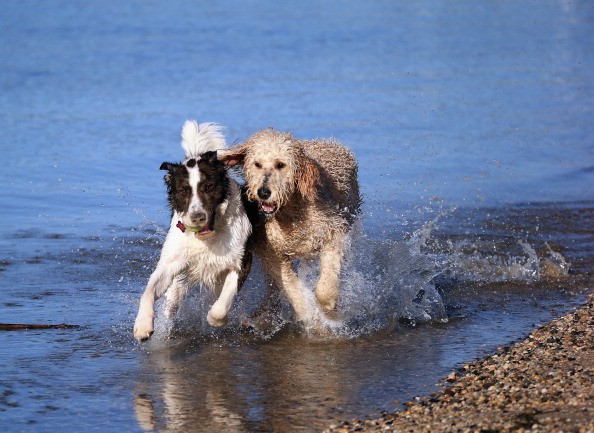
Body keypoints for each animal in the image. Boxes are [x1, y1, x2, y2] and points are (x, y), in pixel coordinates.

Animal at [133, 120, 251, 340]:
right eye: (183, 191)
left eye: (209, 187)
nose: (197, 217)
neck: (206, 238)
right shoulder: (172, 261)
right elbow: (149, 290)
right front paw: (142, 325)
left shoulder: (241, 261)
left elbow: (222, 303)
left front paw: (217, 320)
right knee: (172, 301)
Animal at [217, 126, 356, 322]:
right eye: (257, 164)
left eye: (281, 165)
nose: (263, 192)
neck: (291, 216)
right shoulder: (273, 254)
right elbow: (292, 289)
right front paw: (311, 317)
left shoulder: (334, 231)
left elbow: (326, 283)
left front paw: (329, 307)